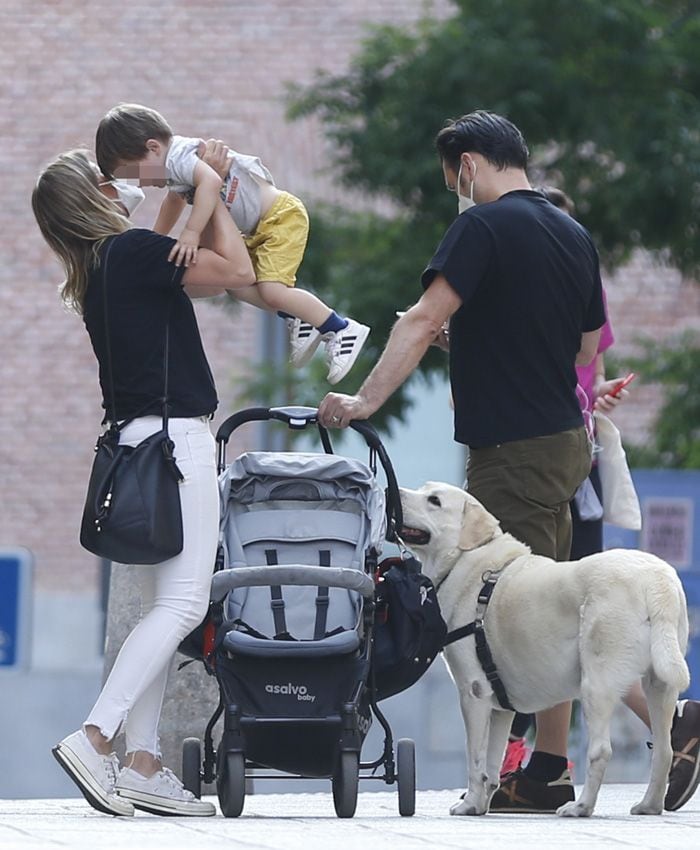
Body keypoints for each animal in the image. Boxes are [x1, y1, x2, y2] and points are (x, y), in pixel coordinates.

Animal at [400, 476, 688, 816]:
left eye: (434, 500)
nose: (397, 492)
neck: (464, 559)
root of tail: (657, 583)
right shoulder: (499, 705)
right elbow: (491, 765)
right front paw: (482, 803)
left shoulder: (474, 693)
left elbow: (475, 759)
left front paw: (469, 804)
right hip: (659, 684)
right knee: (665, 749)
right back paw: (649, 805)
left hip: (596, 683)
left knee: (601, 750)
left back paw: (581, 807)